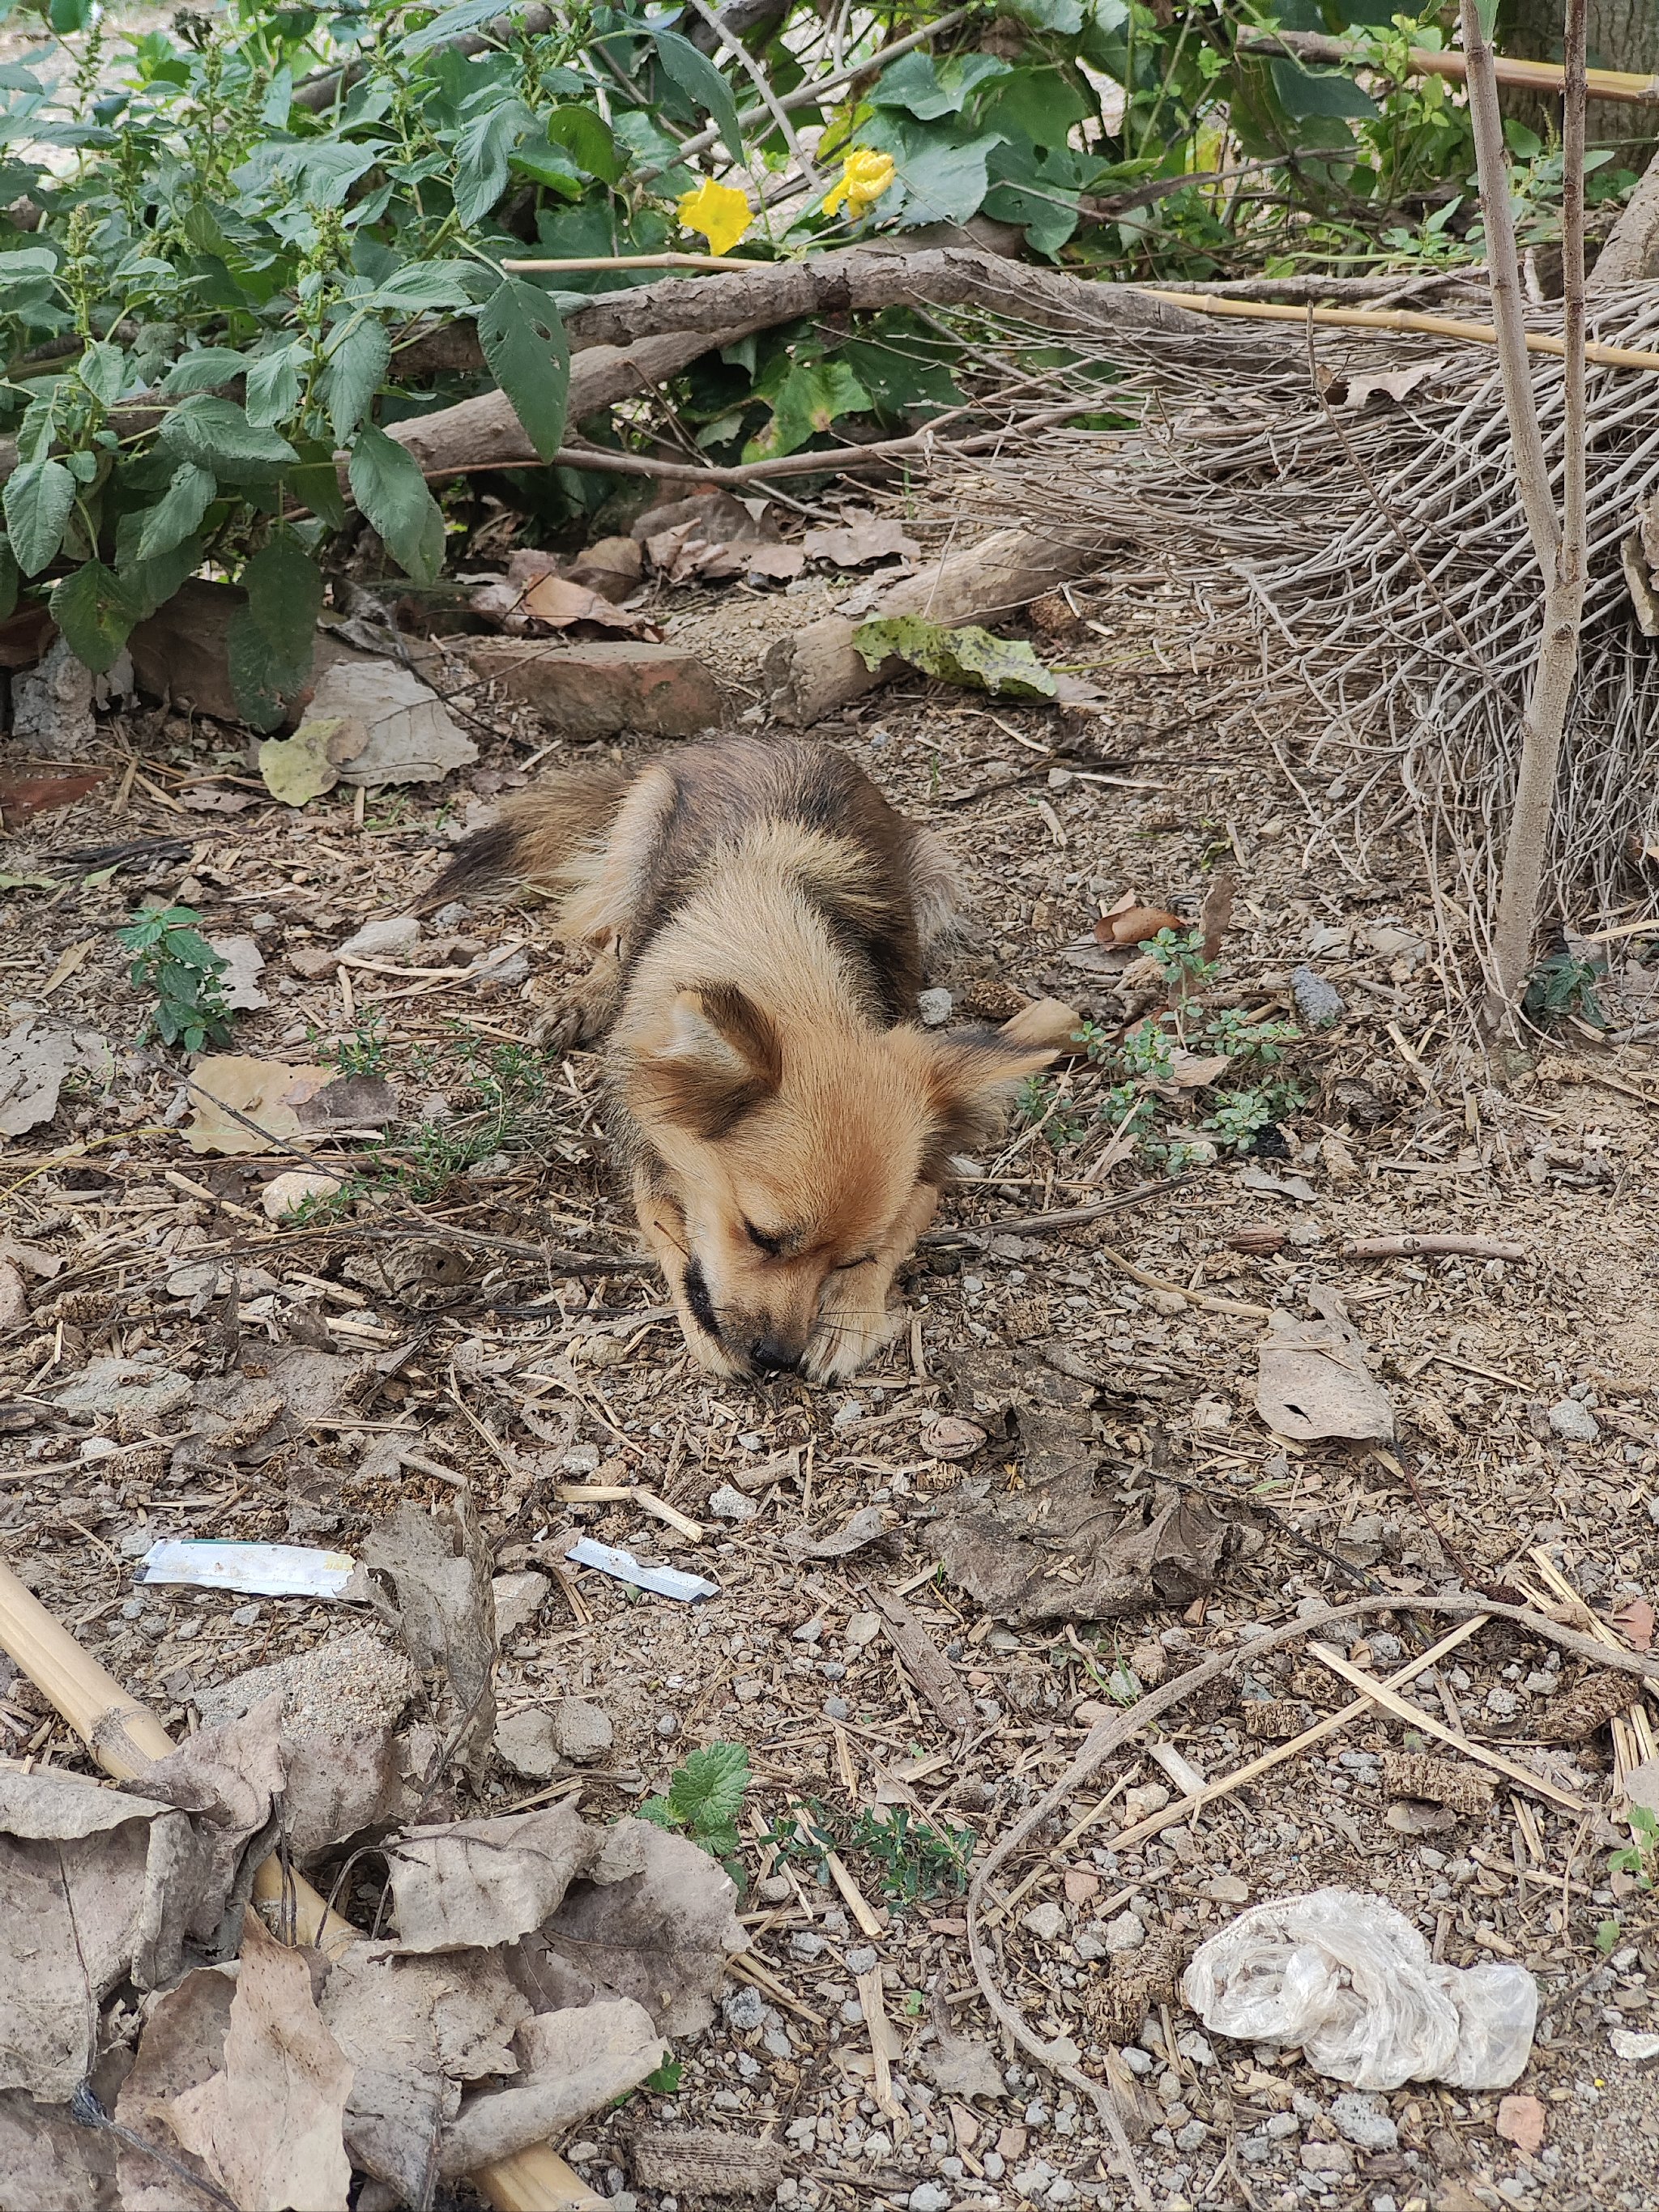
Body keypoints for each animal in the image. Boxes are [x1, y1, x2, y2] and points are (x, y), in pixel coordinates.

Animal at [429, 743, 1079, 1380]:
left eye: (851, 1259)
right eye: (761, 1236)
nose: (778, 1359)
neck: (776, 947)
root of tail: (761, 738)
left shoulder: (926, 1169)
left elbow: (904, 1222)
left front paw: (851, 1313)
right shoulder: (646, 1143)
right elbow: (668, 1225)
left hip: (929, 871)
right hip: (637, 829)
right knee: (614, 934)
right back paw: (586, 998)